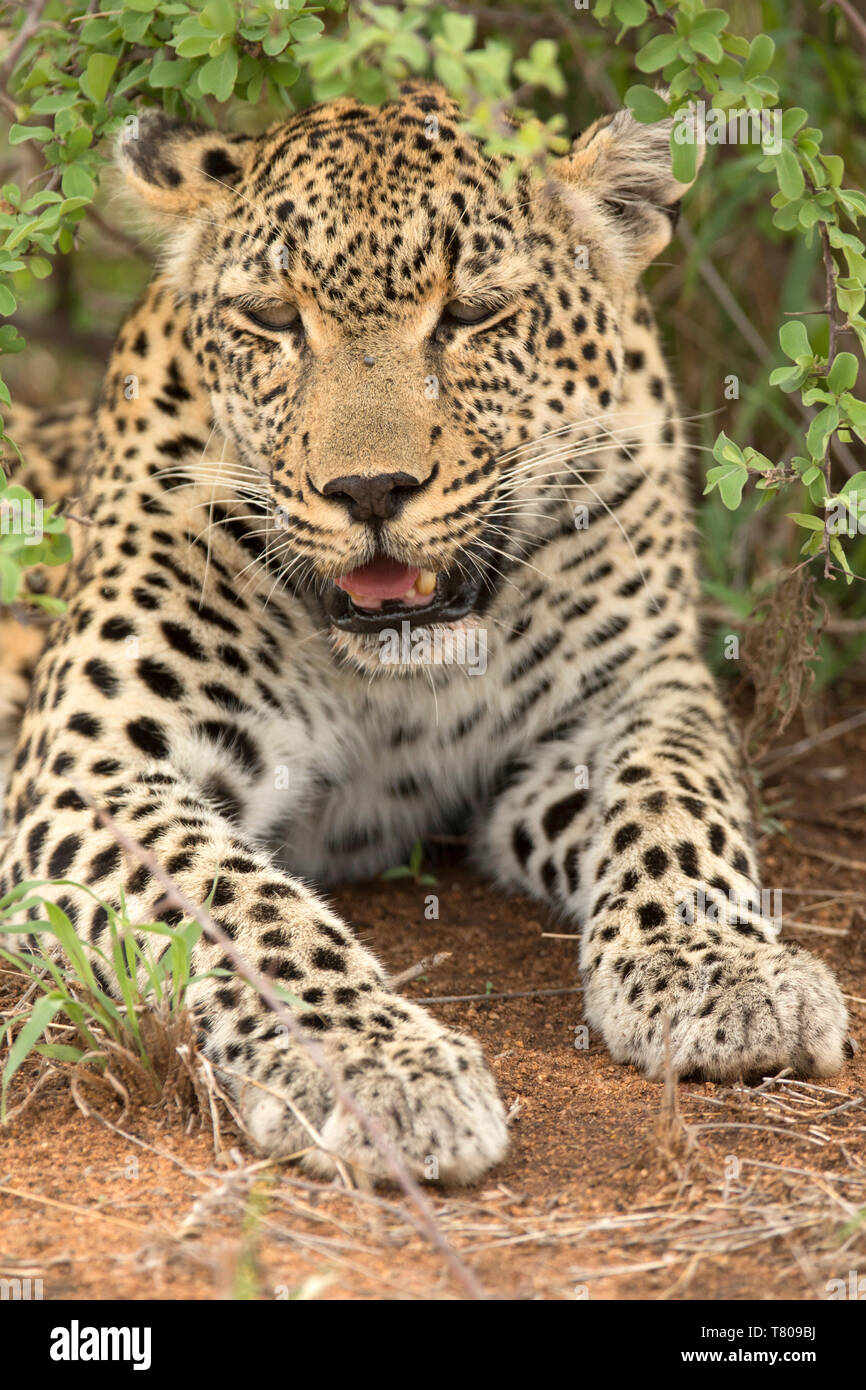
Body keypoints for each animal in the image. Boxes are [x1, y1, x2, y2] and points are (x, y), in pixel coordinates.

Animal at [0, 78, 850, 1184]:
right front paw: (375, 1064)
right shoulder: (91, 773)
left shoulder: (640, 692)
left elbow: (675, 806)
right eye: (273, 320)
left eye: (473, 313)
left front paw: (721, 969)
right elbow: (243, 907)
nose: (368, 489)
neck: (397, 675)